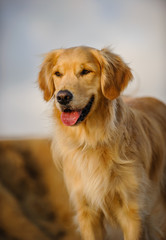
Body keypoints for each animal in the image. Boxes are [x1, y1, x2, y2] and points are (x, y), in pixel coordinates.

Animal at [38, 46, 166, 239]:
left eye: (85, 71)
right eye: (58, 73)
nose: (62, 97)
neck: (92, 141)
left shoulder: (133, 211)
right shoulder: (87, 212)